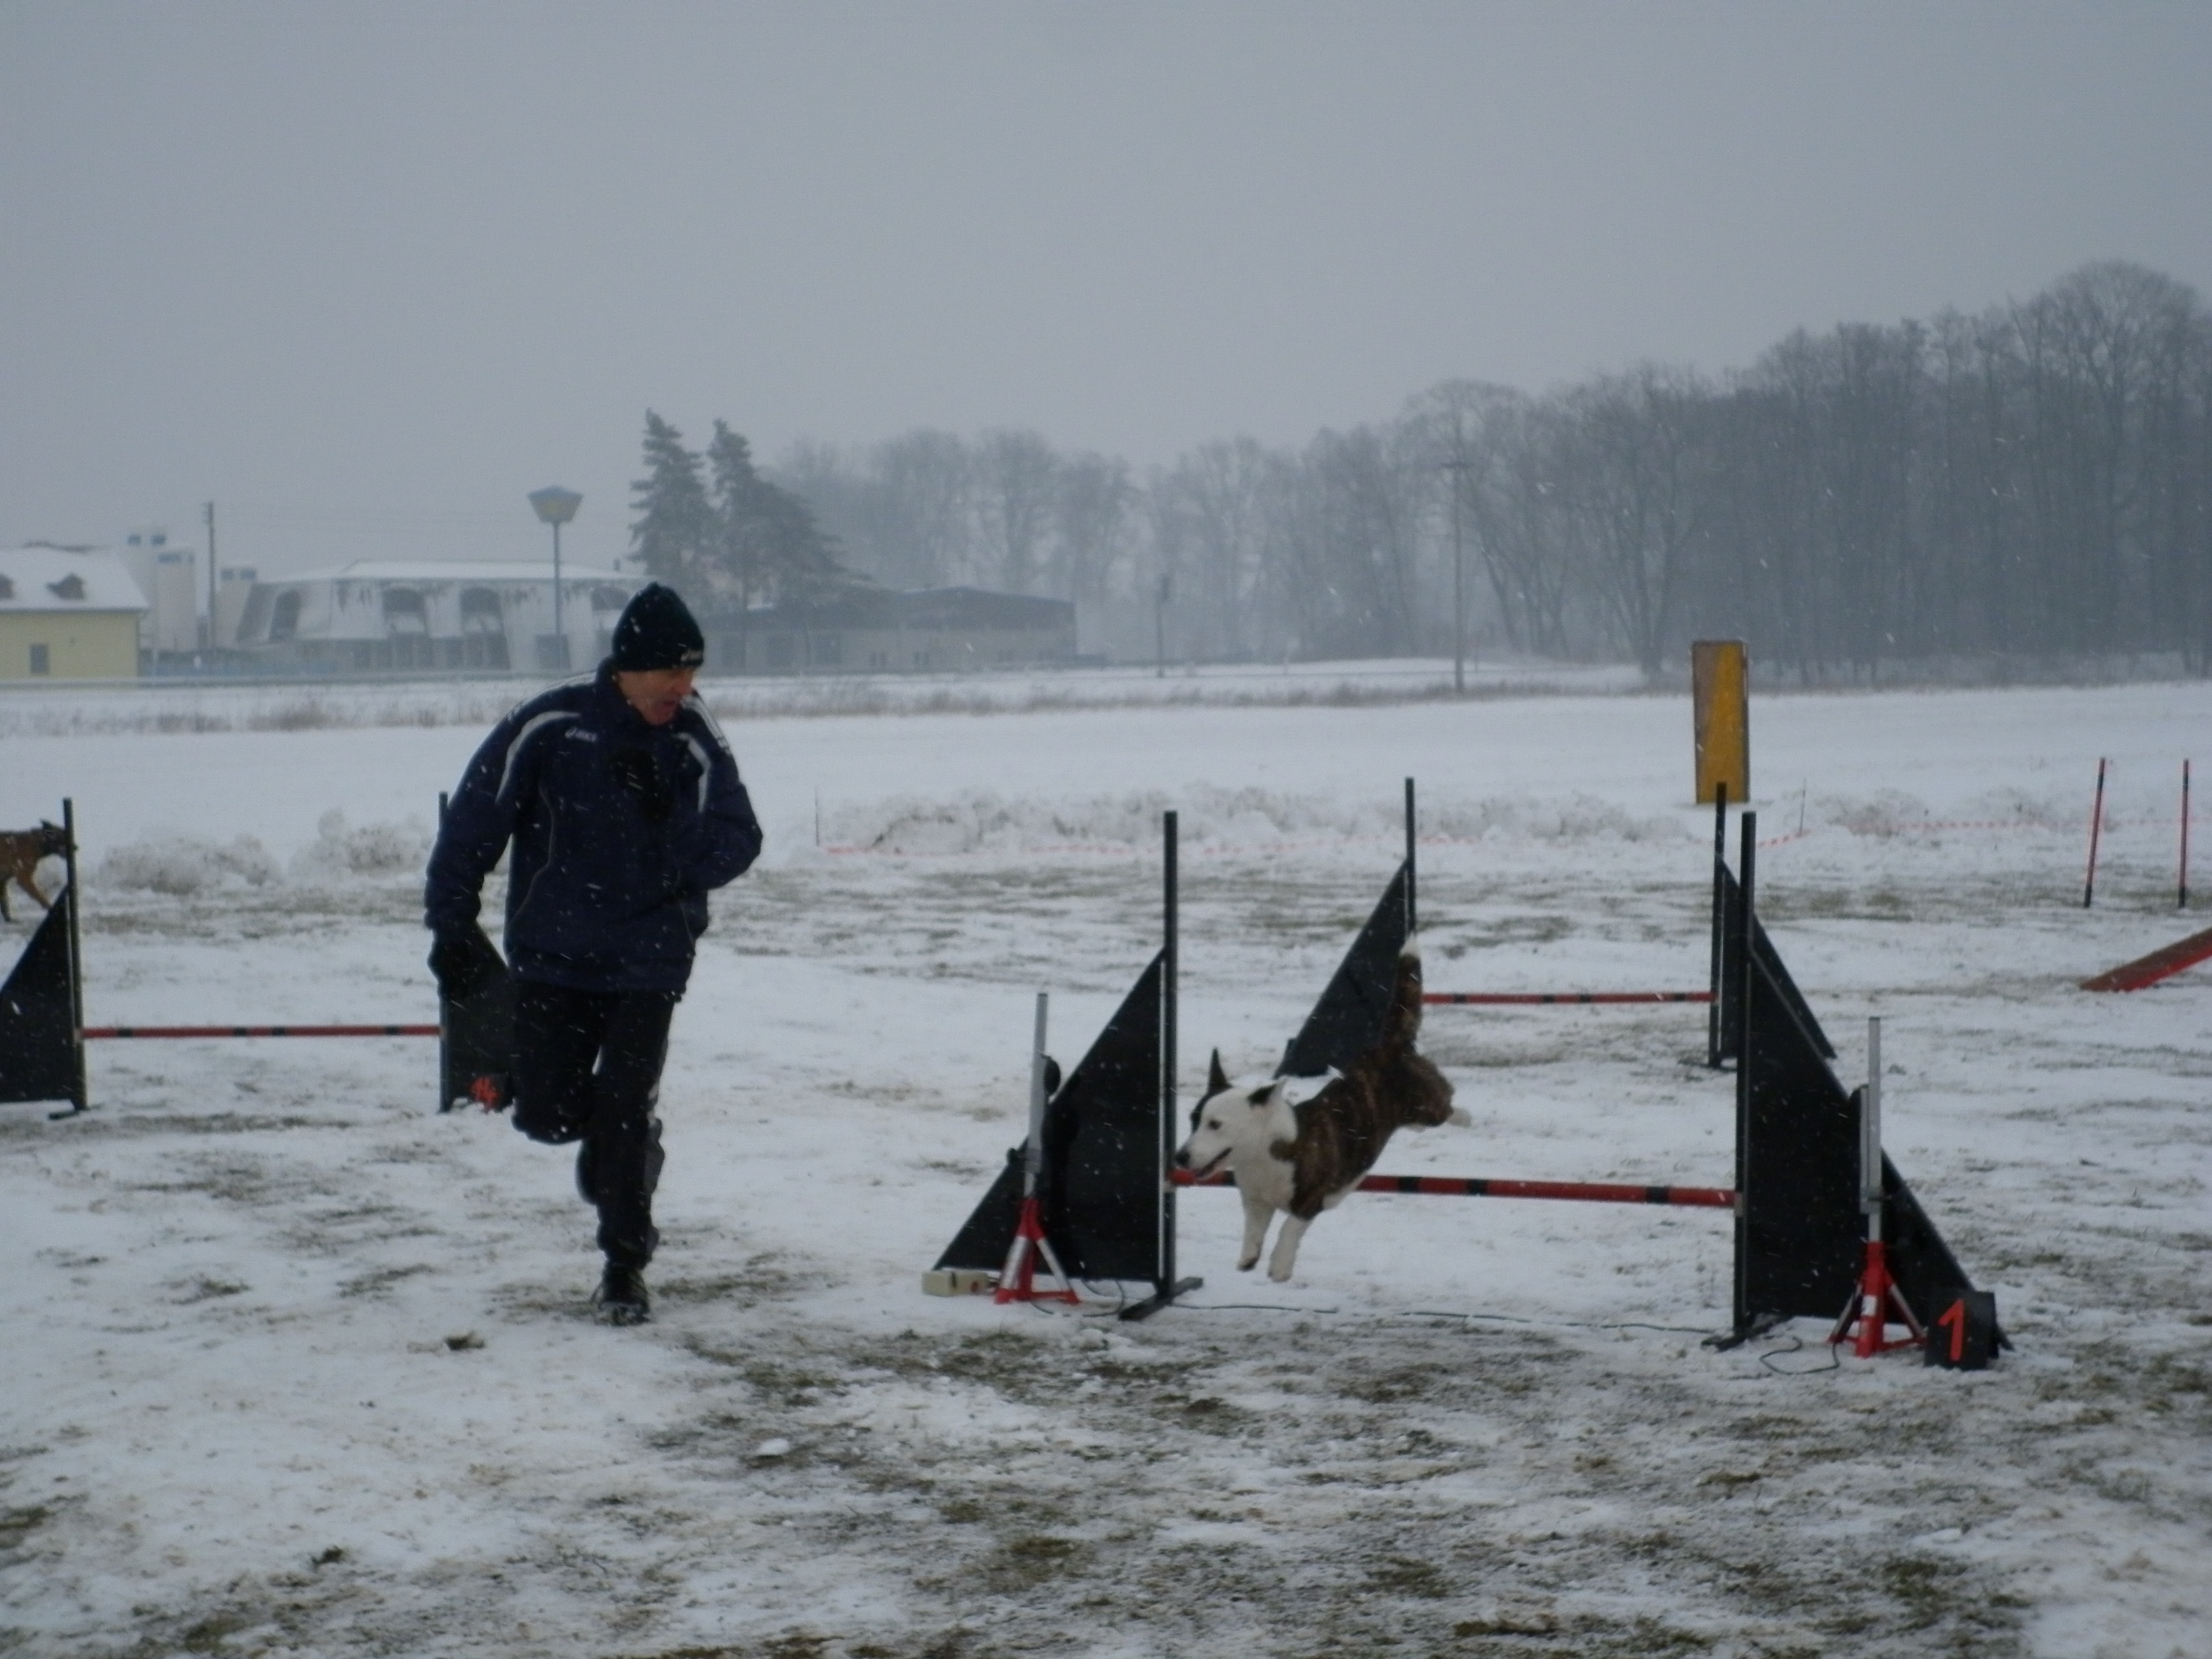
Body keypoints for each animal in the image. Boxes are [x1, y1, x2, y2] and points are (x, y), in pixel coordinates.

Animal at [1176, 942, 1469, 1283]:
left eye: (1215, 1125)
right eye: (1193, 1121)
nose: (1180, 1157)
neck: (1260, 1155)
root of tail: (1389, 1048)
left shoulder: (1311, 1197)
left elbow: (1290, 1226)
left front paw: (1279, 1267)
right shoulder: (1255, 1202)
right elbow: (1253, 1230)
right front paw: (1248, 1258)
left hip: (1426, 1103)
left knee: (1446, 1101)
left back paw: (1465, 1116)